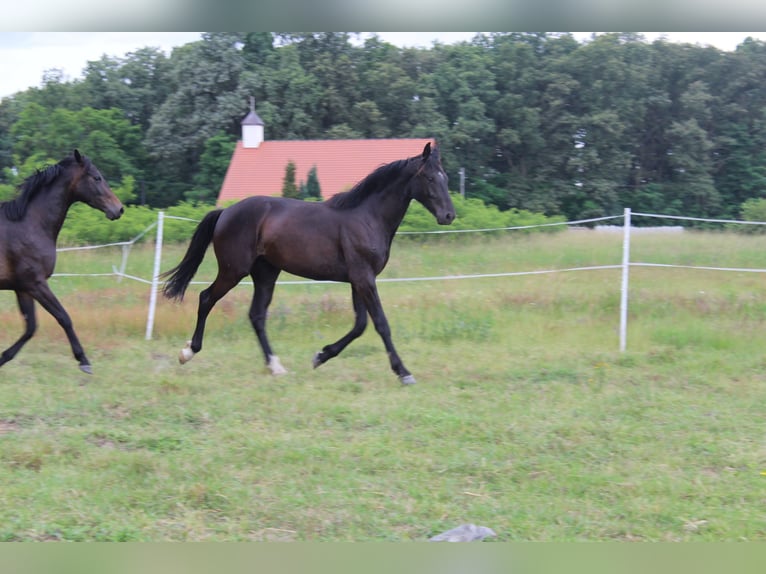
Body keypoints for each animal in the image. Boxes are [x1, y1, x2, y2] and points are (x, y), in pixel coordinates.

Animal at [0, 151, 123, 376]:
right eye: (97, 177)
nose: (119, 209)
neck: (30, 224)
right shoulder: (36, 284)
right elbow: (64, 317)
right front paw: (83, 360)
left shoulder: (23, 288)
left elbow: (30, 328)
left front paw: (2, 358)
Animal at [164, 141, 456, 384]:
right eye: (429, 177)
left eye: (446, 177)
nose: (449, 215)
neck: (367, 217)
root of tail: (226, 212)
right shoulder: (364, 278)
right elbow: (380, 324)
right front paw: (404, 372)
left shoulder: (359, 280)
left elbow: (360, 325)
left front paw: (321, 355)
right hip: (233, 271)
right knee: (206, 298)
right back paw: (188, 352)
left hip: (266, 273)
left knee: (256, 315)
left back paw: (276, 367)